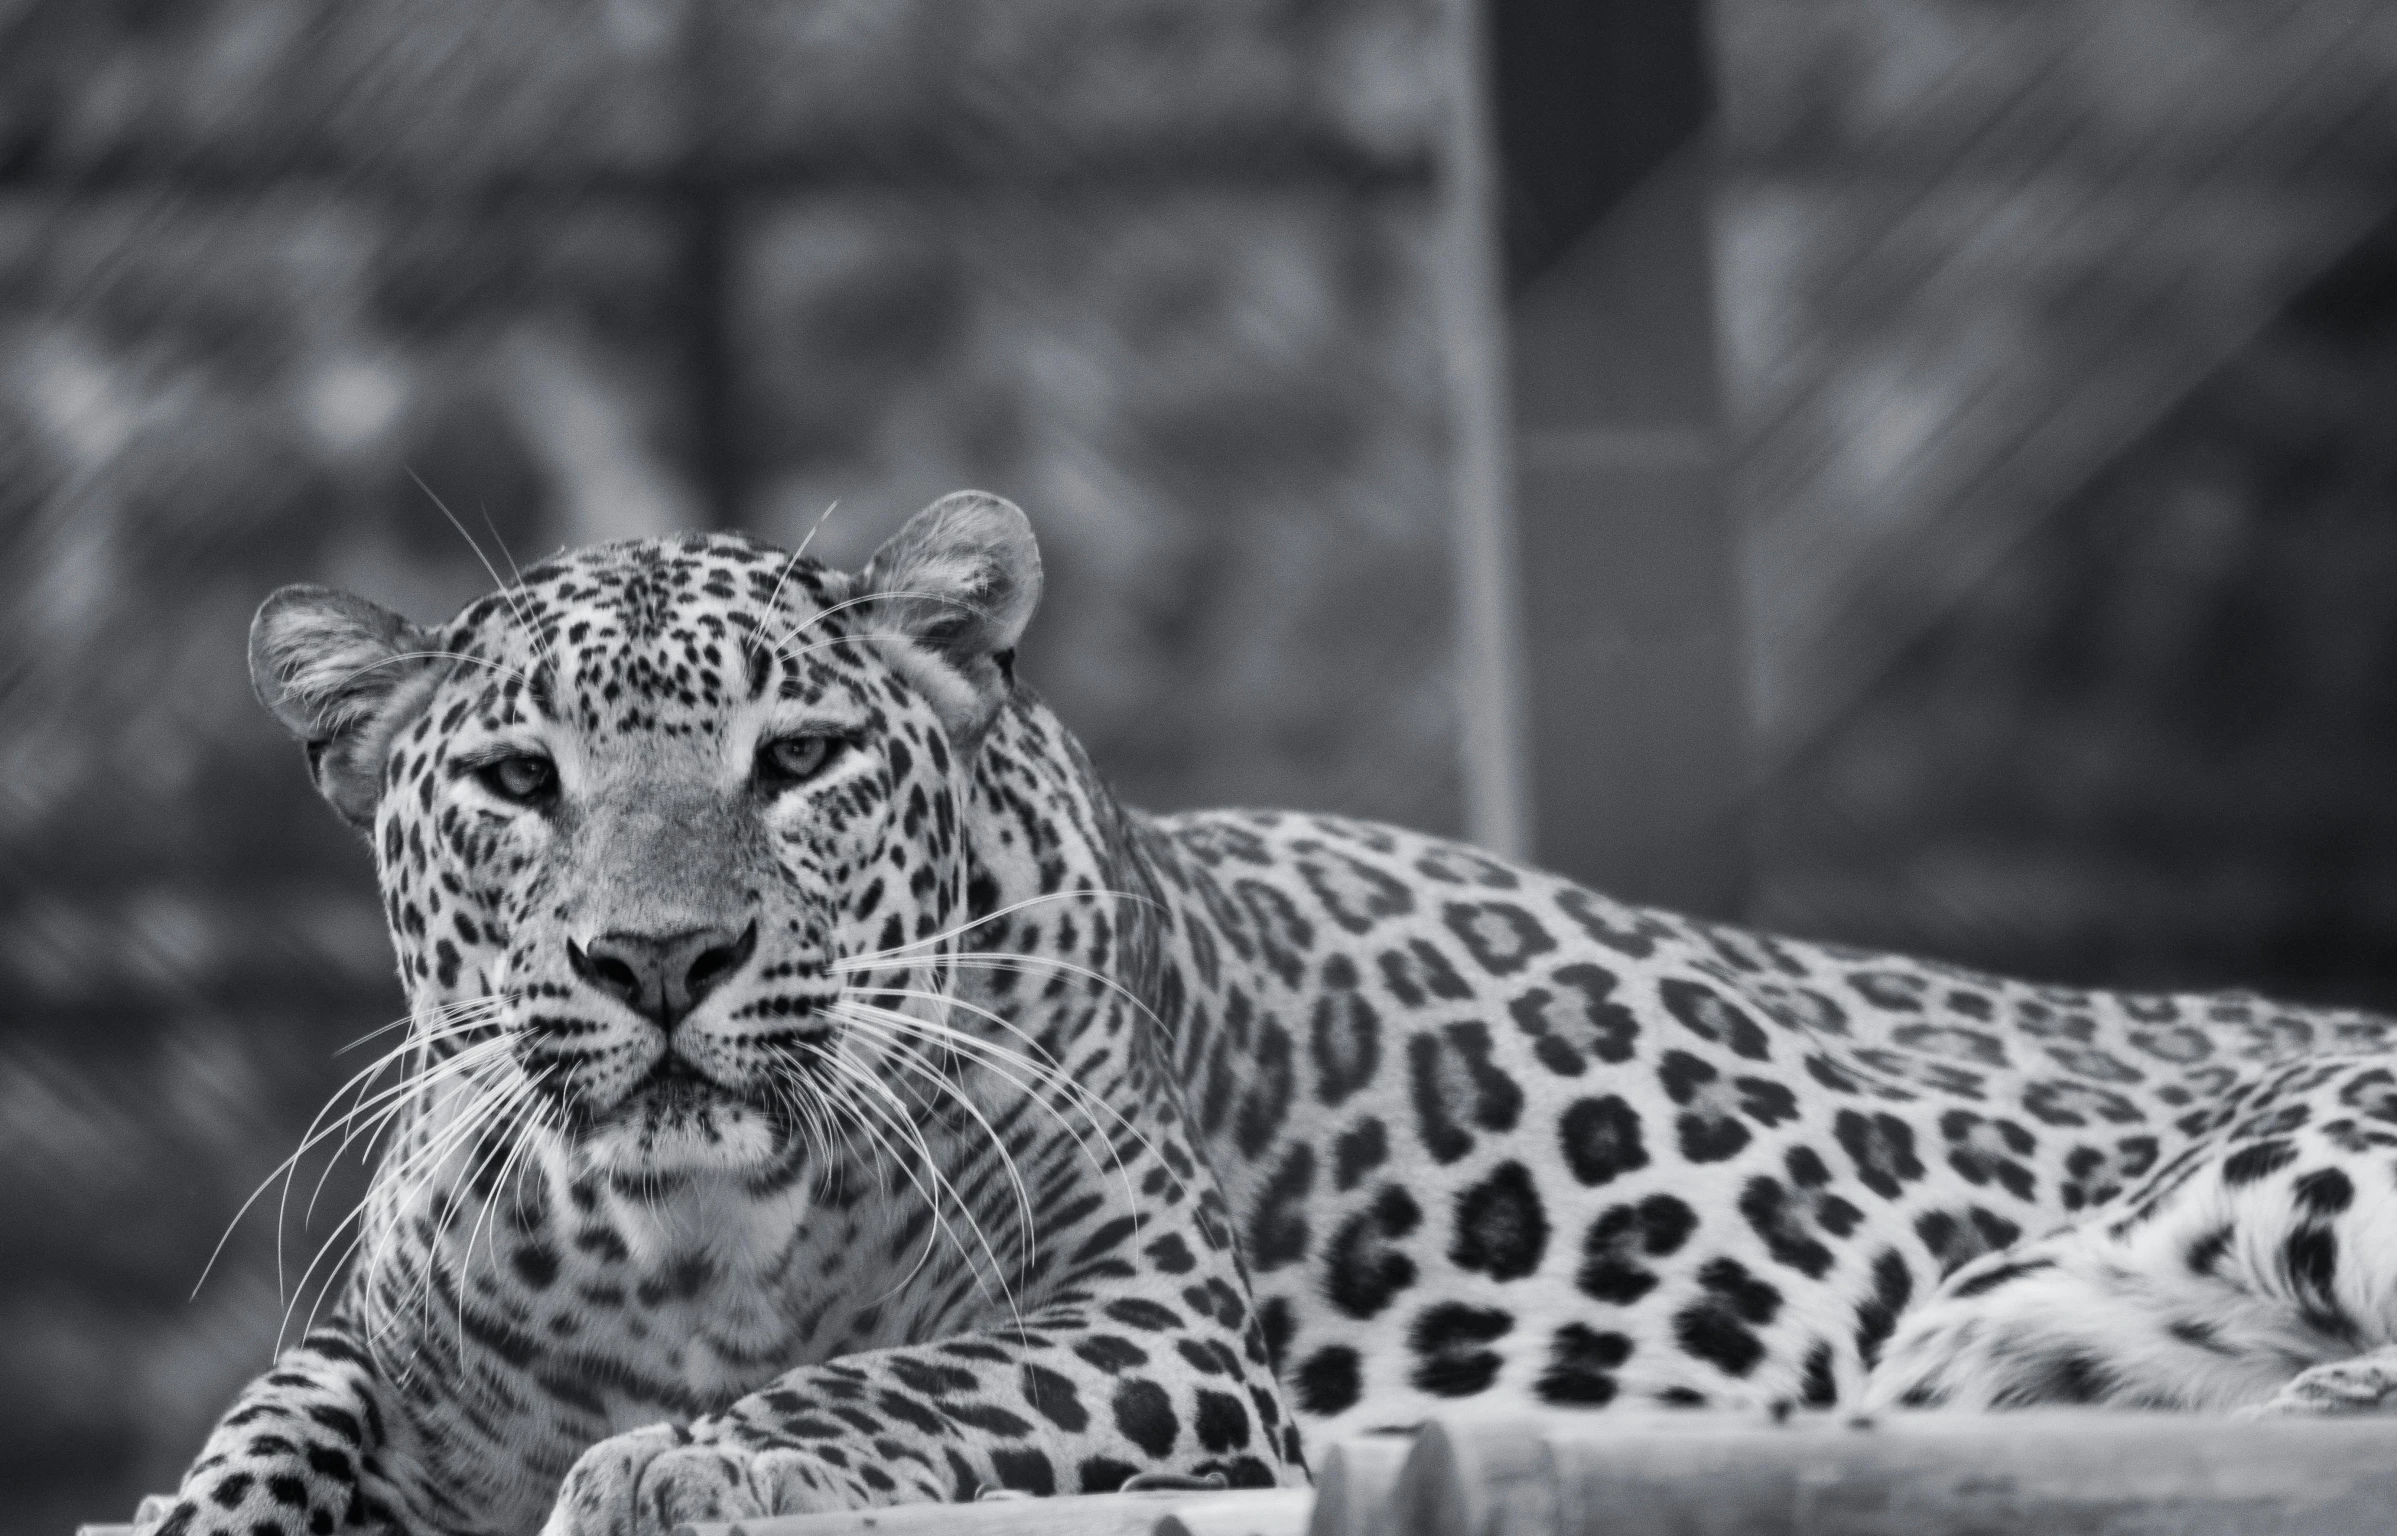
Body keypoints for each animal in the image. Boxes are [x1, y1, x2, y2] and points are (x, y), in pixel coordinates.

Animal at [145, 491, 2397, 1533]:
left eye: (793, 760)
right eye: (515, 783)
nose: (659, 963)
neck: (692, 1240)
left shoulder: (1153, 1329)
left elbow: (894, 1381)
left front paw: (686, 1463)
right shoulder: (376, 1339)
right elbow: (271, 1428)